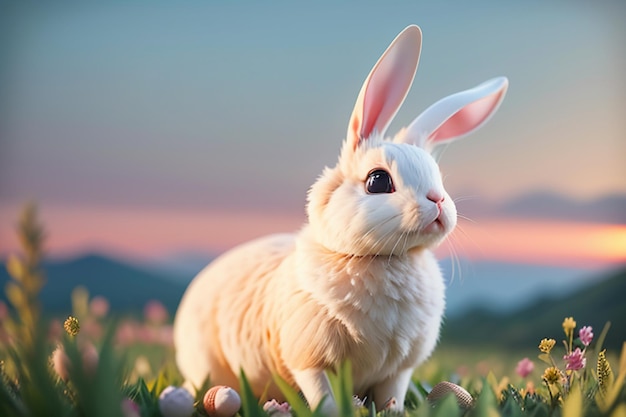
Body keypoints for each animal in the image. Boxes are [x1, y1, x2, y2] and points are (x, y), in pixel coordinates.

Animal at [172, 24, 508, 414]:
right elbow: (324, 397)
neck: (384, 258)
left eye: (438, 176)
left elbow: (392, 395)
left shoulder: (397, 371)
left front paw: (392, 411)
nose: (438, 201)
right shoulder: (312, 359)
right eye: (378, 181)